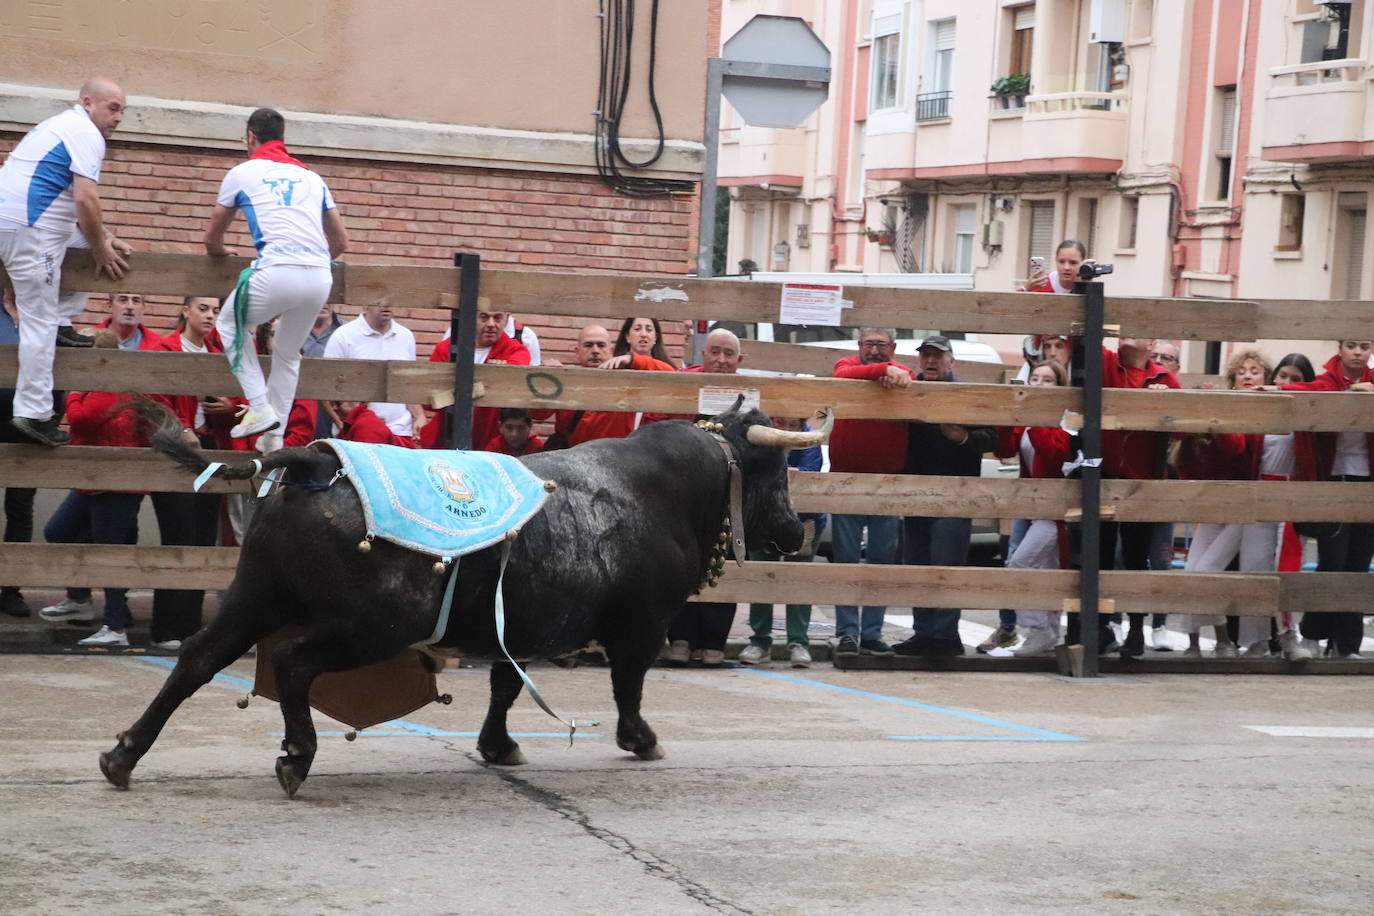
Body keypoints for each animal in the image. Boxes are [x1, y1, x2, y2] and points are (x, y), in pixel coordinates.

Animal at [101, 401, 824, 796]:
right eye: (776, 469)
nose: (797, 531)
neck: (664, 487)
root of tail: (313, 460)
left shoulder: (520, 628)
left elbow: (505, 687)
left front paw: (499, 745)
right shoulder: (641, 624)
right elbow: (629, 684)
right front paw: (640, 738)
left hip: (256, 593)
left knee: (198, 657)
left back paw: (122, 755)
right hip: (369, 624)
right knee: (295, 664)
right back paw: (296, 757)